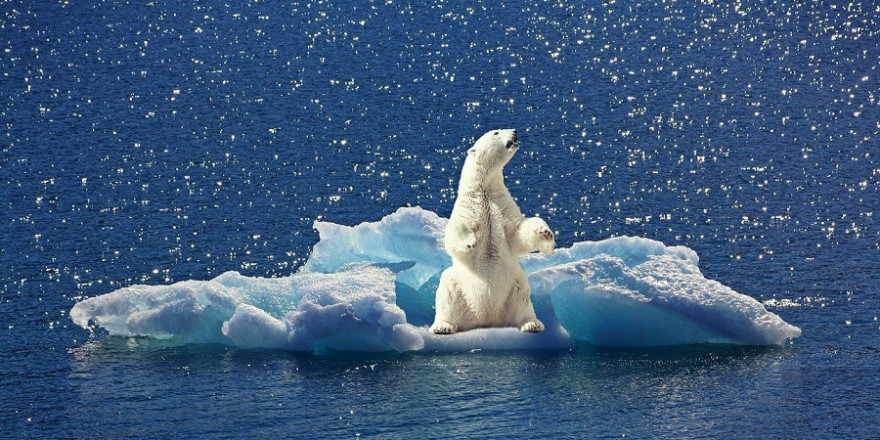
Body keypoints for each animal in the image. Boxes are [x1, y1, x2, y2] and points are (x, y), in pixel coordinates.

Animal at [428, 129, 556, 336]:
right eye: (496, 132)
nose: (515, 131)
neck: (484, 190)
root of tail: (486, 318)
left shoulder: (501, 205)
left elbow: (518, 232)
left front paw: (545, 232)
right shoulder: (469, 207)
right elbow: (455, 230)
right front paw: (470, 242)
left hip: (513, 284)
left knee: (523, 295)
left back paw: (531, 324)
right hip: (458, 284)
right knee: (446, 290)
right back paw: (443, 326)